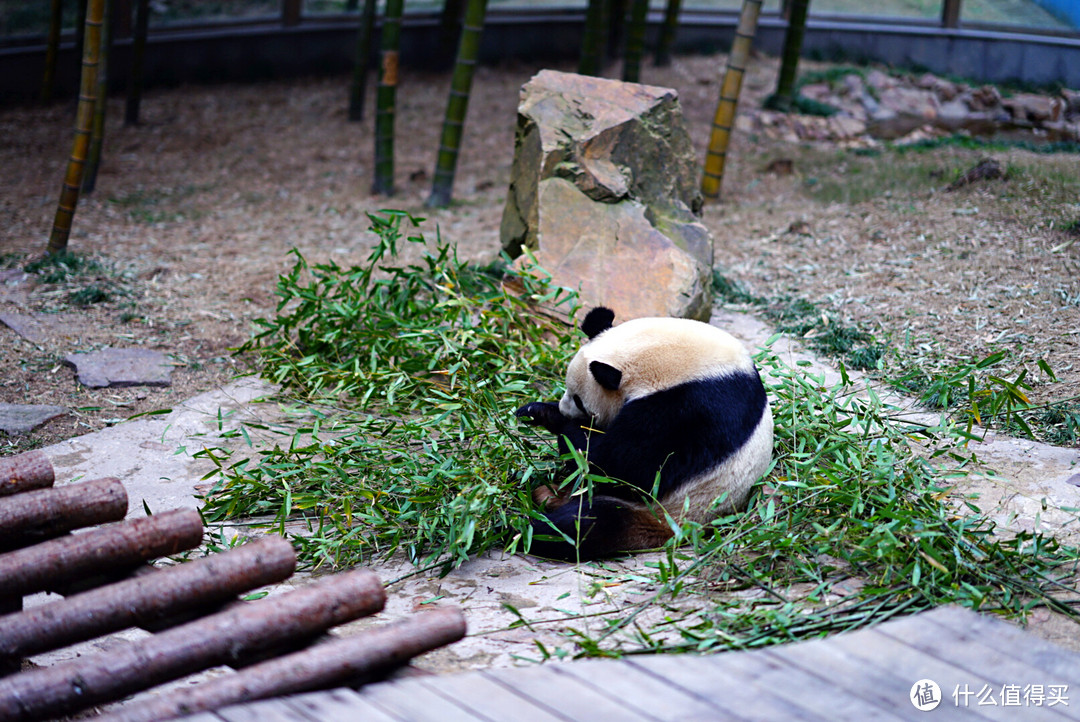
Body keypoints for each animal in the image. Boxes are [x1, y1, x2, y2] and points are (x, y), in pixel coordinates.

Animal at [518, 306, 773, 561]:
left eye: (580, 401)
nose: (565, 410)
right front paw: (539, 412)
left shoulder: (693, 407)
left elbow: (625, 466)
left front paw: (567, 428)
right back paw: (543, 495)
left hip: (676, 507)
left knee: (590, 523)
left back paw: (528, 527)